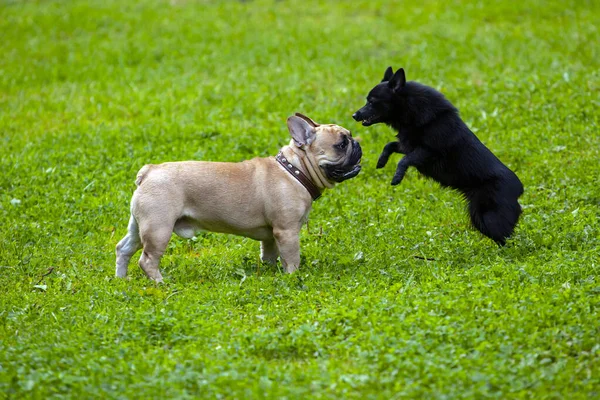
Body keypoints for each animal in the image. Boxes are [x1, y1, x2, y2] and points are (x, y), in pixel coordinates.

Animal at [354, 67, 524, 245]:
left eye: (372, 101)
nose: (354, 115)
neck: (412, 110)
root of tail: (519, 189)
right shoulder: (408, 145)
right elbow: (390, 146)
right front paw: (381, 161)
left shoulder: (428, 152)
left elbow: (403, 160)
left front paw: (397, 177)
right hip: (478, 217)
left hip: (489, 217)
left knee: (506, 239)